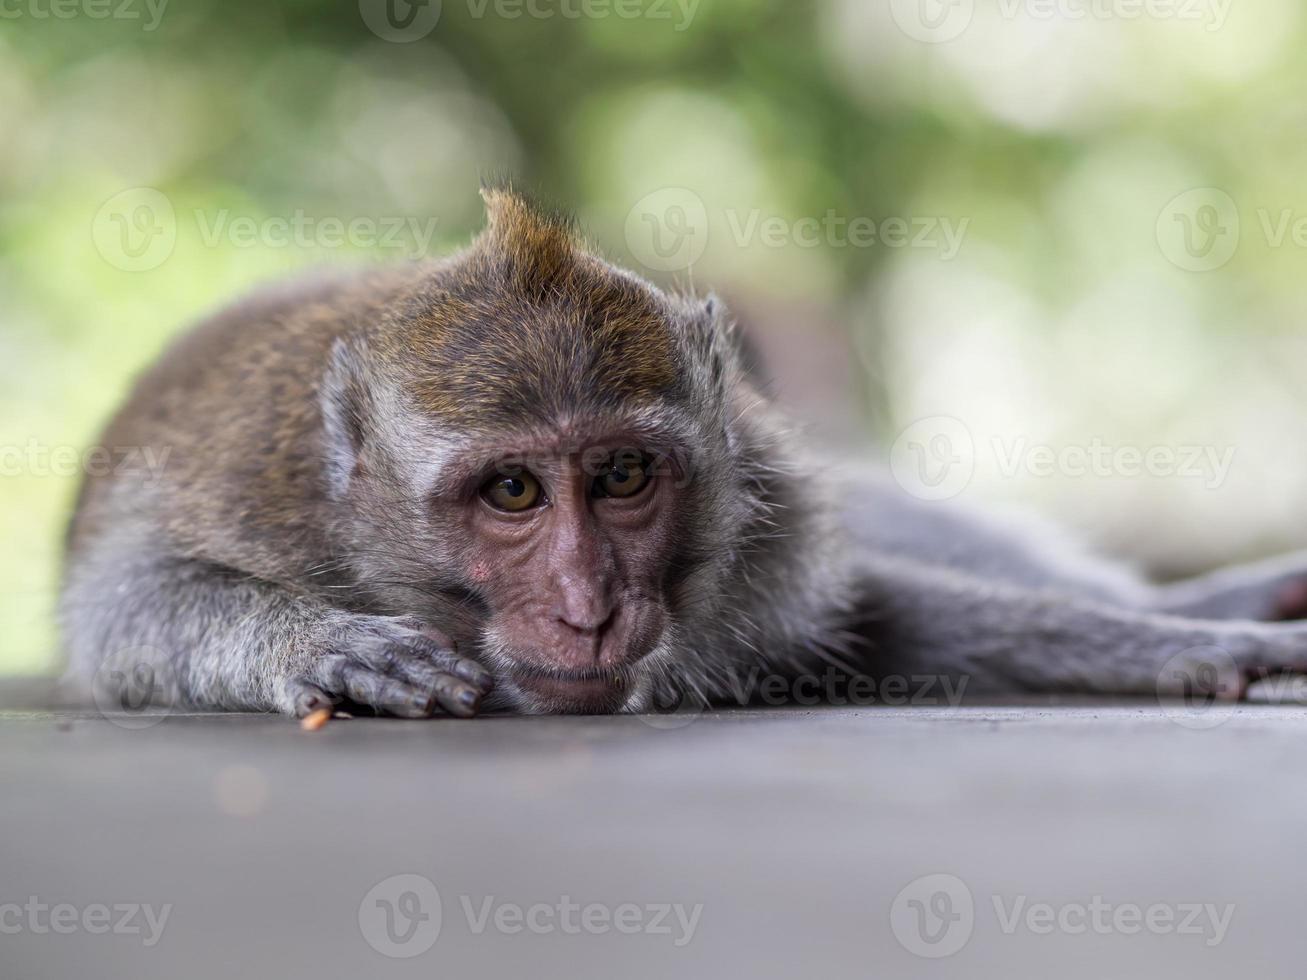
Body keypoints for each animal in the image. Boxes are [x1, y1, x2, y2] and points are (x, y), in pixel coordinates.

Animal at [58, 185, 1307, 721]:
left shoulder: (770, 528)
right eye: (511, 489)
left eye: (620, 477)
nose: (587, 605)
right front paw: (320, 643)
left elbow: (876, 614)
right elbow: (122, 608)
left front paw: (1181, 642)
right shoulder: (250, 496)